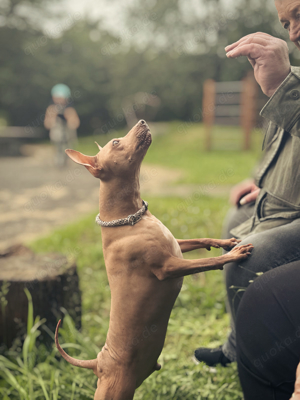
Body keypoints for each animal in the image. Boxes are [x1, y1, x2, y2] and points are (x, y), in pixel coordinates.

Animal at [54, 120, 253, 400]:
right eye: (116, 142)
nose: (142, 121)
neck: (130, 219)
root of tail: (97, 362)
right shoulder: (168, 267)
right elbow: (206, 263)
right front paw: (234, 254)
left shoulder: (176, 247)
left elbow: (200, 241)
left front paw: (223, 243)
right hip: (115, 390)